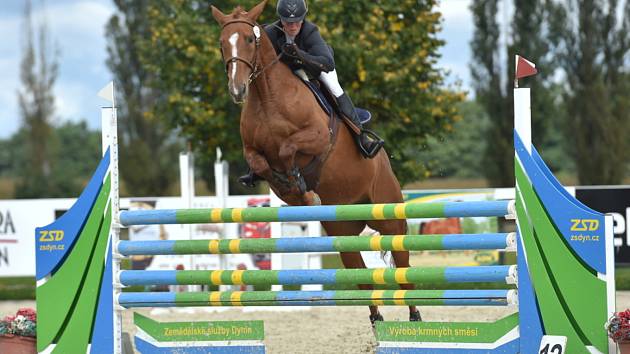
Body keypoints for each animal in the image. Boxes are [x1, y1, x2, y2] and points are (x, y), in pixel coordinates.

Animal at [210, 0, 422, 324]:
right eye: (223, 43)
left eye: (248, 39)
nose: (238, 90)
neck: (269, 97)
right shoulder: (252, 151)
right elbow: (261, 165)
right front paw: (295, 190)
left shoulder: (319, 138)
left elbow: (288, 148)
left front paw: (302, 187)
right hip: (341, 232)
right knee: (360, 274)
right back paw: (376, 320)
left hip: (389, 215)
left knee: (402, 262)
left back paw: (414, 316)